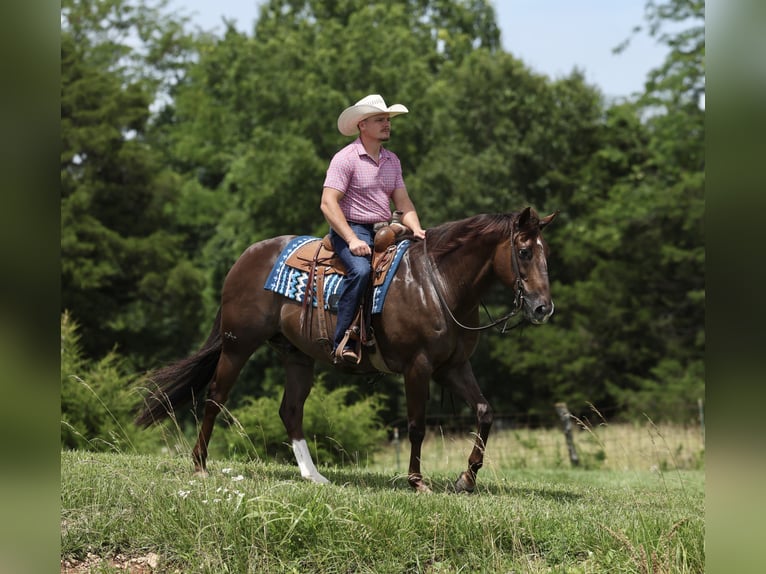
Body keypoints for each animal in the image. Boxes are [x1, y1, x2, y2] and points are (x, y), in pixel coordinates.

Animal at [136, 207, 558, 493]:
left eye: (546, 254)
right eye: (524, 252)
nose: (543, 308)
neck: (437, 283)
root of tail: (245, 257)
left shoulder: (453, 366)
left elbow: (485, 412)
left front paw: (466, 478)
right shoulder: (418, 366)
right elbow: (417, 425)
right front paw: (417, 481)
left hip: (297, 356)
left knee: (290, 410)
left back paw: (313, 475)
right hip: (238, 345)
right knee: (215, 397)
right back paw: (200, 465)